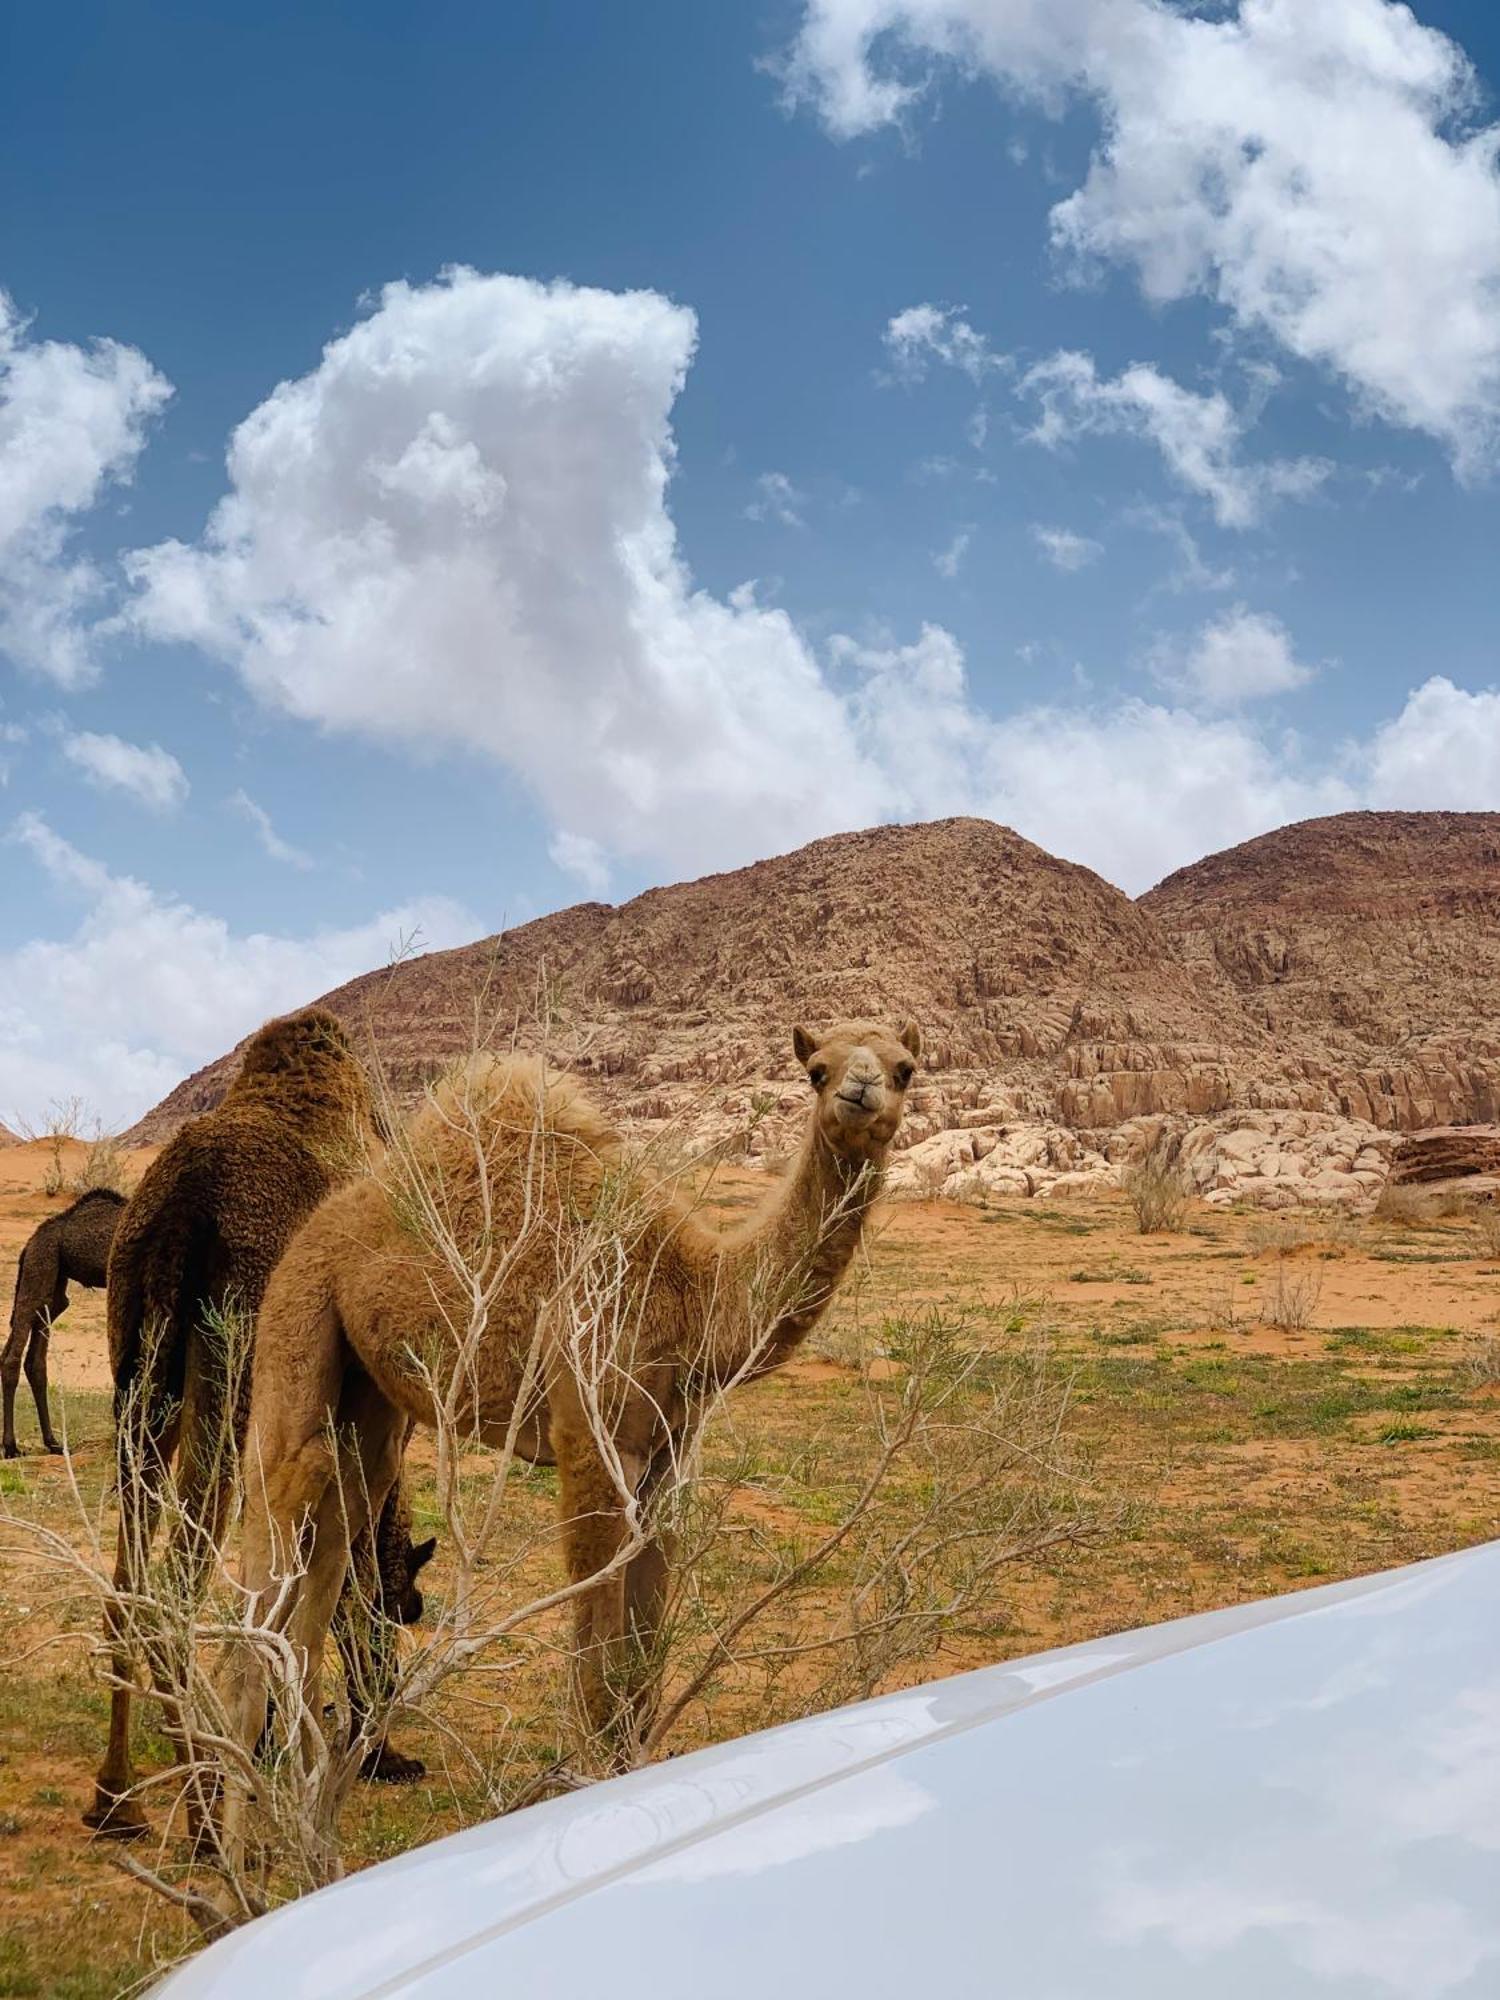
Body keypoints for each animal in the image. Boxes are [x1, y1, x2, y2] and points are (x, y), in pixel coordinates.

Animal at [3, 1184, 125, 1456]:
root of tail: (30, 1243)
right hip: (39, 1268)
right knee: (12, 1357)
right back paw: (11, 1447)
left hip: (53, 1290)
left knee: (34, 1362)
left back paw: (52, 1442)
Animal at [228, 1016, 924, 1800]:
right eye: (815, 1069)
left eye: (905, 1067)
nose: (859, 1091)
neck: (693, 1289)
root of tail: (318, 1226)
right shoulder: (590, 1433)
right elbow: (597, 1621)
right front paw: (591, 1776)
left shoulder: (671, 1451)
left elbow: (646, 1624)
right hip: (298, 1316)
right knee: (276, 1502)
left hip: (370, 1393)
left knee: (335, 1528)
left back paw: (304, 1767)